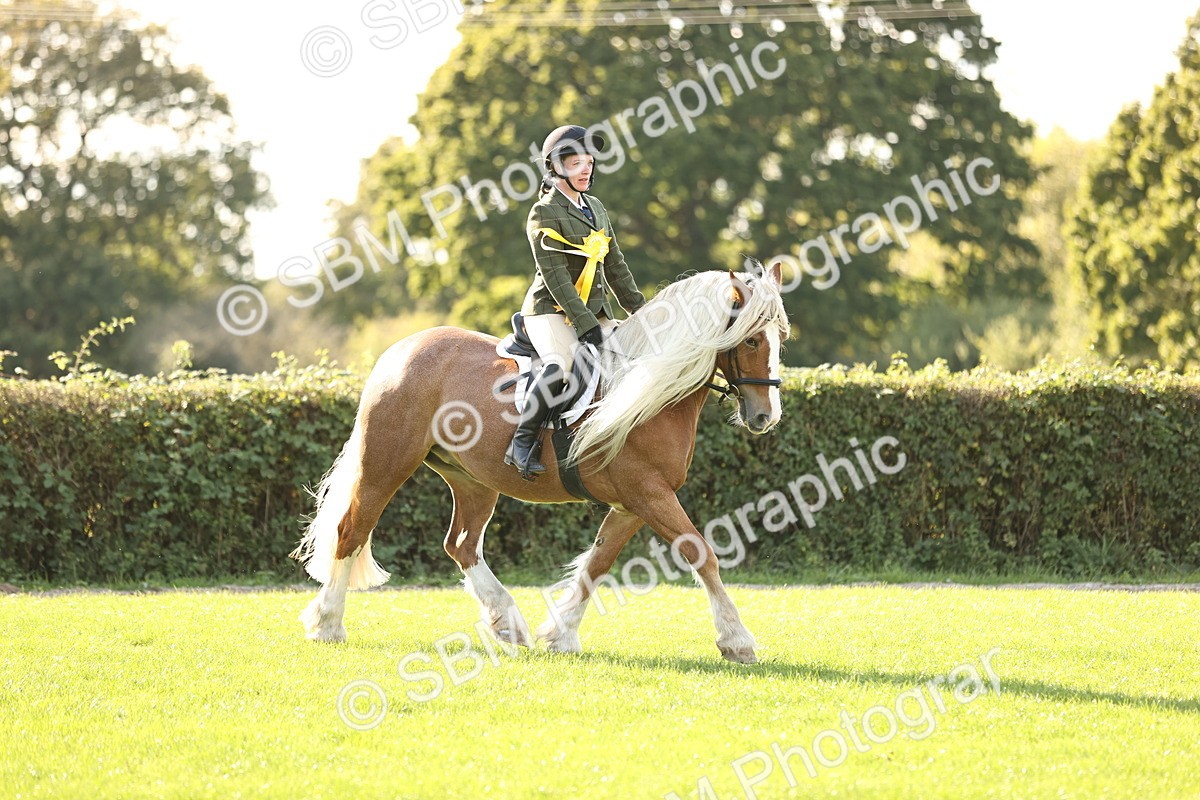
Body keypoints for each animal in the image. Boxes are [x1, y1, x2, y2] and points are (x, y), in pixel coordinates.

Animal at [290, 261, 788, 664]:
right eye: (750, 340)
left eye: (780, 338)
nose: (766, 417)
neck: (651, 388)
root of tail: (401, 350)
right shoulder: (649, 493)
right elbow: (701, 553)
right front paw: (737, 641)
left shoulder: (633, 504)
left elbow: (597, 564)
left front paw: (560, 634)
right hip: (386, 465)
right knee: (352, 531)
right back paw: (328, 624)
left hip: (472, 480)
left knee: (461, 545)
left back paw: (507, 622)